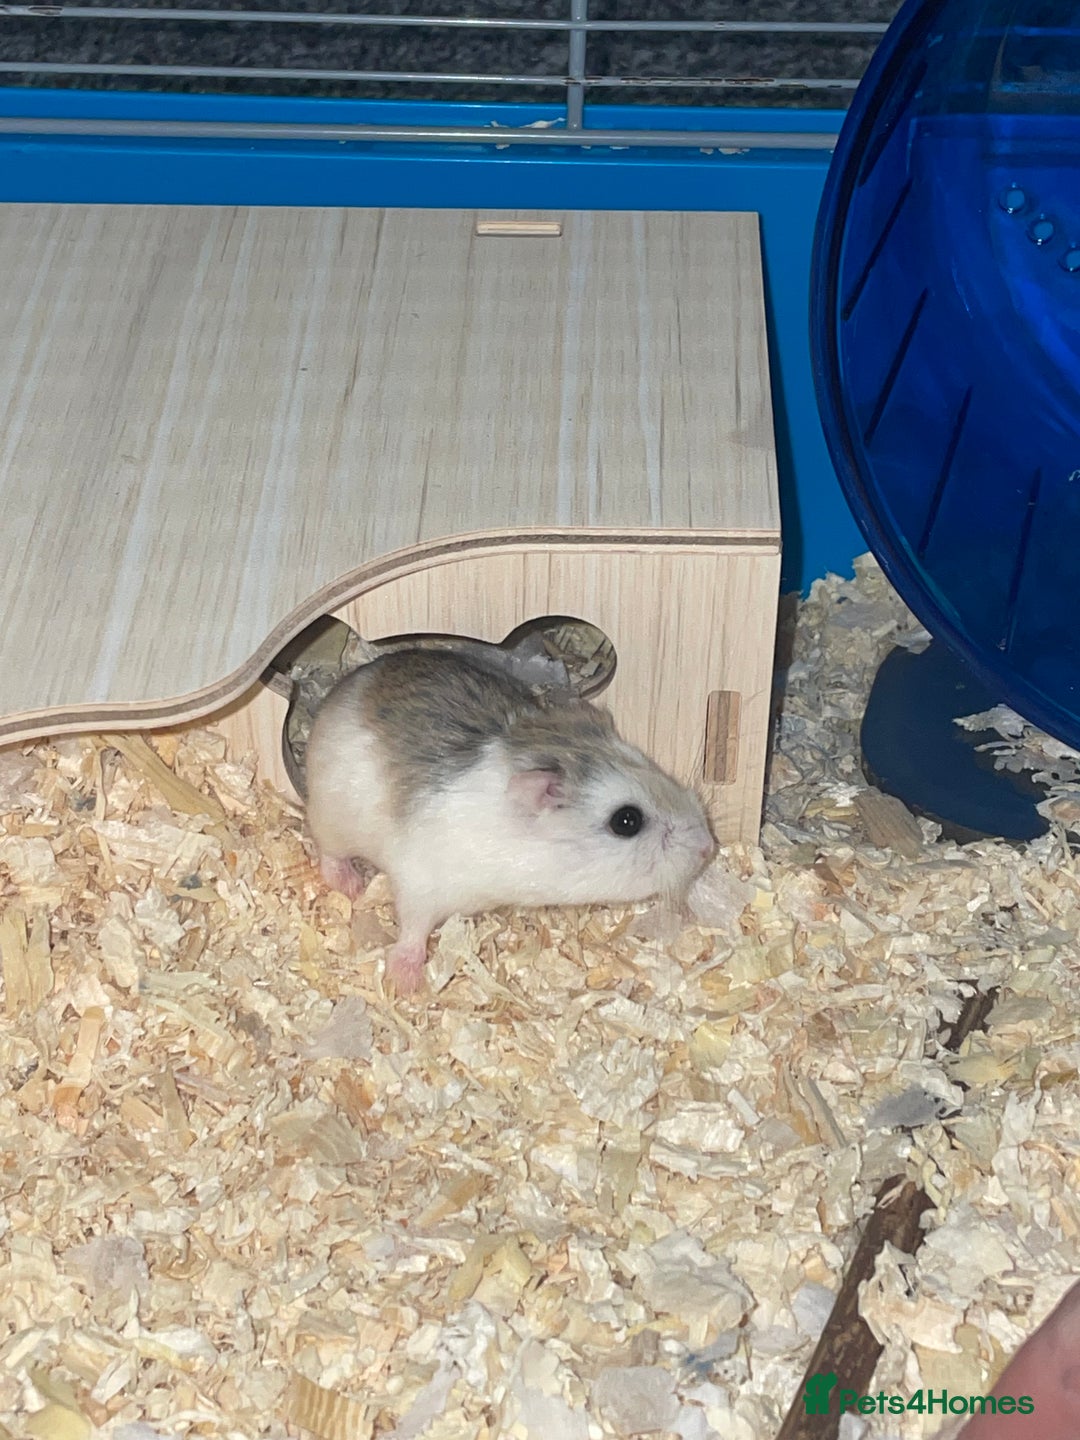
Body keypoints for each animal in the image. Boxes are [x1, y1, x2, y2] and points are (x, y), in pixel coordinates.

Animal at [304, 648, 716, 995]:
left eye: (650, 762)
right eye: (626, 821)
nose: (708, 847)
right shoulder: (421, 885)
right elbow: (413, 930)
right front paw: (404, 984)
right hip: (332, 817)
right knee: (329, 855)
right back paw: (352, 885)